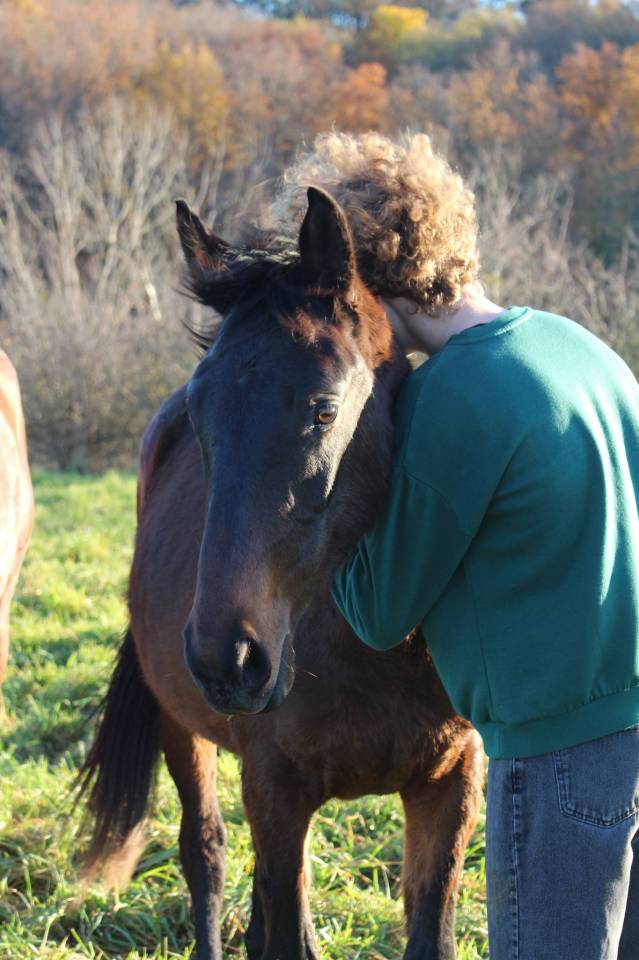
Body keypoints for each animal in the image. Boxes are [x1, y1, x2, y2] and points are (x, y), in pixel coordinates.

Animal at [80, 187, 484, 960]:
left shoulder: (448, 786)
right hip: (184, 727)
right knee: (204, 851)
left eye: (324, 410)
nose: (227, 658)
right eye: (201, 412)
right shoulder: (276, 793)